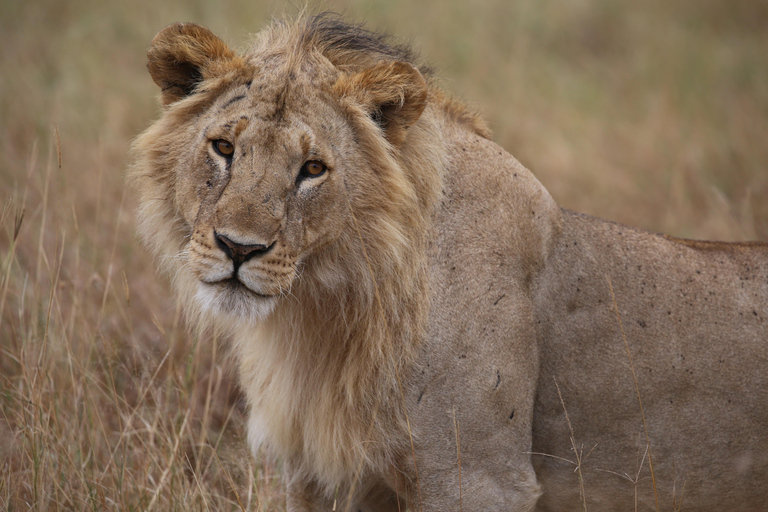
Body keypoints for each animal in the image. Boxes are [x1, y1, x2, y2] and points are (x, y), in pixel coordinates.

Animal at [132, 14, 768, 510]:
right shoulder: (320, 474)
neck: (324, 312)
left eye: (312, 169)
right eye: (223, 147)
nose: (239, 248)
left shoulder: (478, 477)